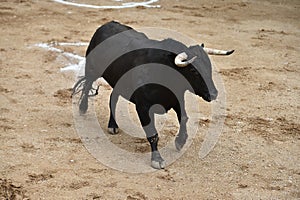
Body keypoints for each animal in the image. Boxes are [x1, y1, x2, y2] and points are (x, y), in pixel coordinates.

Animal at [72, 21, 234, 169]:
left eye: (209, 67)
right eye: (194, 70)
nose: (213, 93)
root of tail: (106, 25)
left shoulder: (177, 99)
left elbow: (184, 117)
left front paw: (180, 141)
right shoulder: (143, 107)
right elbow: (152, 133)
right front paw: (157, 159)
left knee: (113, 97)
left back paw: (113, 125)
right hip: (92, 69)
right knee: (87, 85)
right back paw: (83, 108)